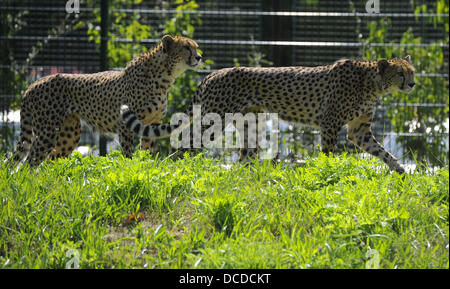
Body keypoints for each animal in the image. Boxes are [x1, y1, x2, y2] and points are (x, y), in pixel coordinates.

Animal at [6, 35, 202, 166]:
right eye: (186, 47)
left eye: (196, 46)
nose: (199, 57)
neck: (165, 75)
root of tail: (32, 84)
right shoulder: (125, 125)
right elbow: (128, 153)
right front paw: (130, 169)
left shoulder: (152, 123)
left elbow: (146, 152)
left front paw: (144, 167)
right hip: (47, 132)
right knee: (29, 163)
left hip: (69, 133)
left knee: (49, 161)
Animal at [122, 56, 414, 173]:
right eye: (400, 73)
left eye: (411, 71)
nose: (412, 84)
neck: (373, 82)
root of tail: (211, 74)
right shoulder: (330, 123)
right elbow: (329, 154)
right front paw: (329, 172)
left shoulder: (359, 130)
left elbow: (382, 151)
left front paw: (400, 170)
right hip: (213, 120)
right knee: (187, 144)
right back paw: (182, 170)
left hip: (252, 124)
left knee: (244, 157)